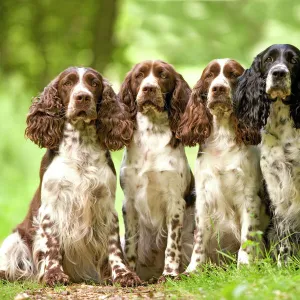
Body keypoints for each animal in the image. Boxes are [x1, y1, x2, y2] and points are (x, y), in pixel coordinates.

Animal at [0, 67, 142, 288]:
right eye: (67, 83)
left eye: (94, 83)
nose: (82, 97)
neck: (80, 147)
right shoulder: (51, 207)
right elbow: (51, 244)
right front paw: (53, 275)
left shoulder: (106, 205)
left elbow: (113, 246)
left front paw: (123, 274)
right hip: (14, 239)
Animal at [118, 60, 196, 282]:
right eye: (139, 75)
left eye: (163, 75)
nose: (149, 88)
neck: (152, 135)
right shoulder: (129, 202)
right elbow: (130, 244)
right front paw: (130, 274)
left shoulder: (175, 202)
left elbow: (172, 244)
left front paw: (169, 273)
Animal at [177, 58, 268, 272]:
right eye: (209, 75)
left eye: (233, 74)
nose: (218, 88)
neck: (223, 137)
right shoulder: (203, 196)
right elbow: (199, 238)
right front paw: (193, 269)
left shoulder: (249, 196)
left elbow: (247, 235)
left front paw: (244, 266)